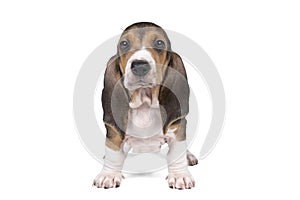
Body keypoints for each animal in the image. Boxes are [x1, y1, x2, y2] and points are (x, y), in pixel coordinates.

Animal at [92, 22, 198, 191]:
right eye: (124, 44)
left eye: (159, 43)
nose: (140, 65)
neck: (145, 104)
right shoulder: (114, 131)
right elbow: (114, 153)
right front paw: (109, 174)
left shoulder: (177, 127)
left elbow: (176, 153)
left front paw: (179, 176)